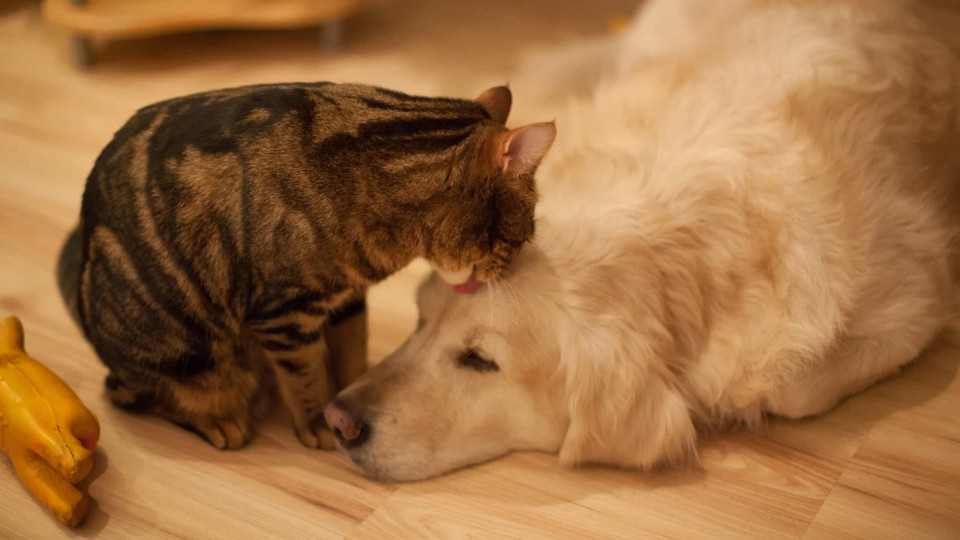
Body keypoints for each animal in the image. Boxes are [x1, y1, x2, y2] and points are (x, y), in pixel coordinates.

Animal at [56, 82, 556, 450]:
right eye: (520, 235)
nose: (507, 269)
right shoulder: (286, 316)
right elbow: (307, 377)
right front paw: (319, 423)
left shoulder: (348, 300)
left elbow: (351, 353)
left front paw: (351, 396)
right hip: (191, 356)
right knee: (144, 395)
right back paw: (220, 421)